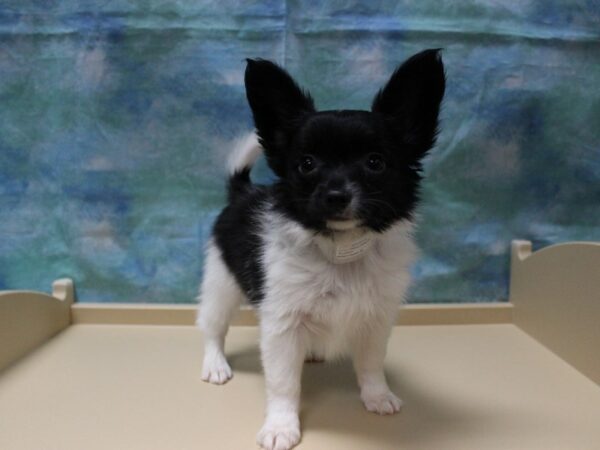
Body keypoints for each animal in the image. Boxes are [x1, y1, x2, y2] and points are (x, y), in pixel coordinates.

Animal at [197, 49, 446, 450]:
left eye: (375, 162)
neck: (340, 250)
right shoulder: (281, 324)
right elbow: (283, 382)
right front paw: (281, 426)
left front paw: (377, 396)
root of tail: (242, 192)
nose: (335, 195)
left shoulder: (376, 318)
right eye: (307, 164)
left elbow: (371, 363)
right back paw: (216, 364)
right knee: (212, 326)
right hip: (221, 282)